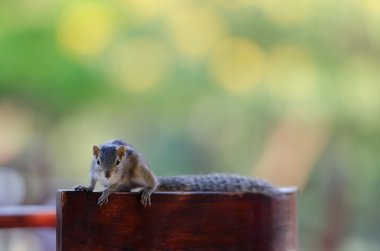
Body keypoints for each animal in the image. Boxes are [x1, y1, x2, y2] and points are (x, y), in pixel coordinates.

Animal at [73, 139, 280, 206]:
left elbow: (114, 185)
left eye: (118, 162)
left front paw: (106, 192)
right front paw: (86, 188)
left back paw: (147, 190)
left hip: (141, 171)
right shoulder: (93, 172)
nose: (107, 175)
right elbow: (92, 181)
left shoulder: (123, 174)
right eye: (98, 161)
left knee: (153, 183)